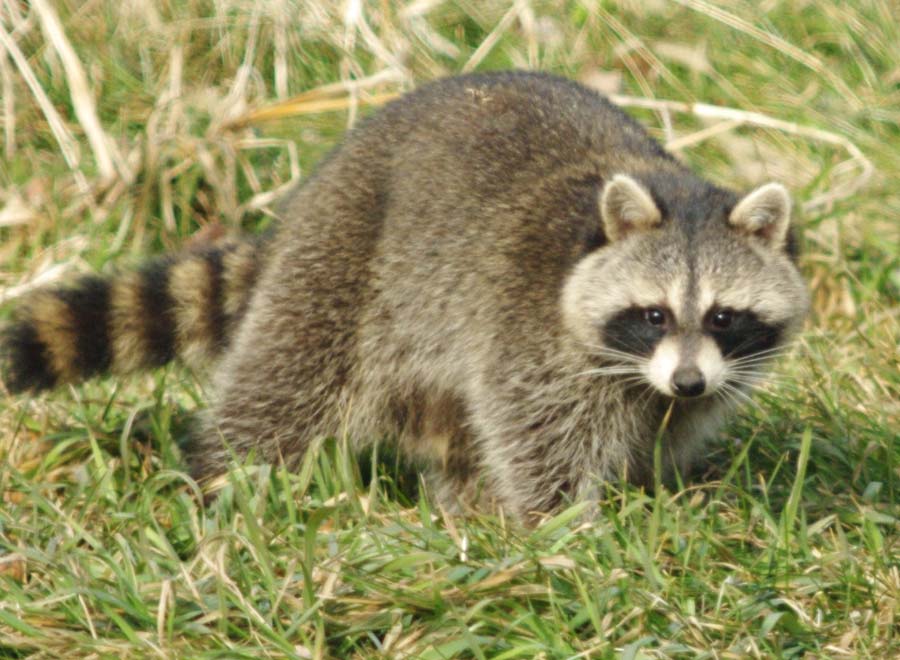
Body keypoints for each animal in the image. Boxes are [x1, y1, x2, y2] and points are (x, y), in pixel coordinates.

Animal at [2, 71, 808, 519]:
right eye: (652, 314)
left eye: (724, 316)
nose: (688, 378)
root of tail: (308, 199)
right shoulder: (531, 330)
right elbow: (535, 432)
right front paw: (560, 525)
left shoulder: (689, 379)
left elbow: (662, 428)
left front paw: (649, 489)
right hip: (343, 269)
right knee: (284, 387)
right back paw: (228, 476)